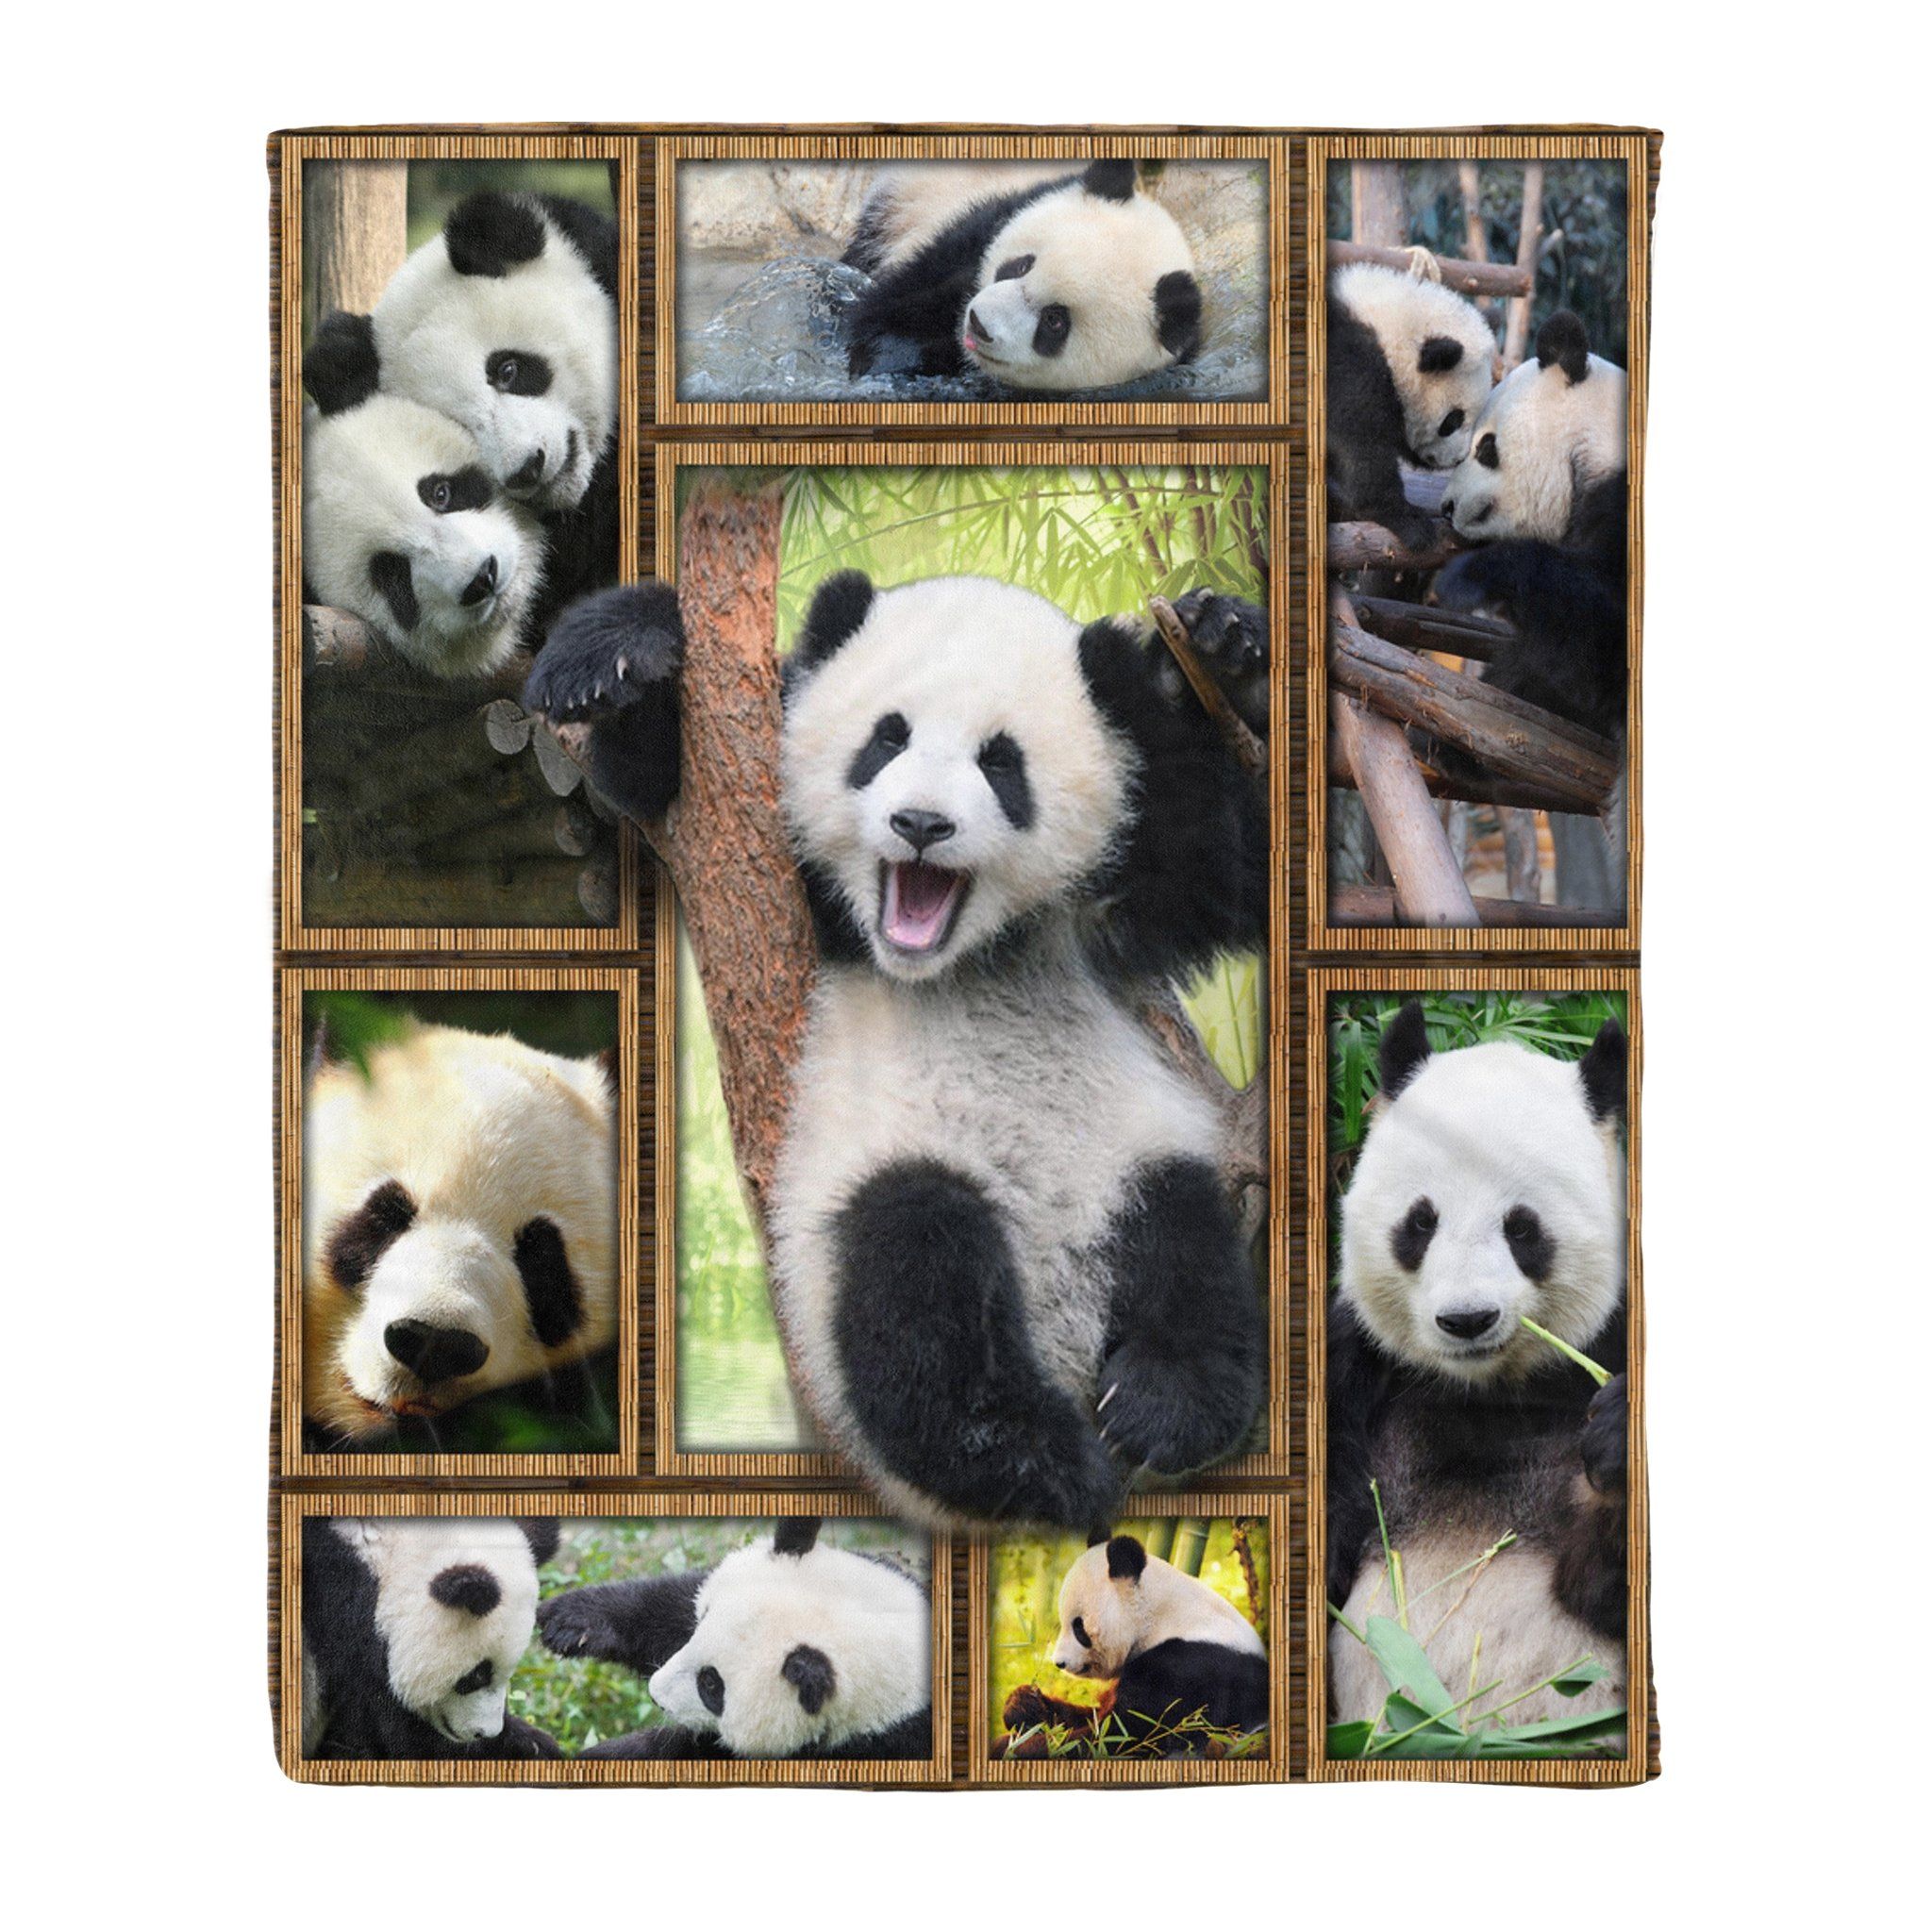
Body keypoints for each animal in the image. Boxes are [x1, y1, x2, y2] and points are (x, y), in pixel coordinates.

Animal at [526, 571, 1269, 1532]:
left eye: (1001, 763)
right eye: (887, 739)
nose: (920, 823)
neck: (958, 958)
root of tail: (1061, 1346)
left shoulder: (1113, 901)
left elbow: (1225, 865)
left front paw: (1220, 647)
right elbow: (664, 776)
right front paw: (613, 658)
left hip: (1128, 1163)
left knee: (1187, 1254)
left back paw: (1154, 1407)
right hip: (868, 1191)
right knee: (914, 1279)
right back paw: (1038, 1457)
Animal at [536, 1518, 932, 1760]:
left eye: (711, 1685)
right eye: (701, 1621)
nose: (655, 1694)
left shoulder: (880, 1743)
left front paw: (598, 1754)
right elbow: (668, 1608)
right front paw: (570, 1622)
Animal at [842, 160, 1202, 392]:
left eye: (1054, 321)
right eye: (1022, 265)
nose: (979, 324)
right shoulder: (981, 228)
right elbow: (904, 302)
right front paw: (888, 358)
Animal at [996, 1532, 1268, 1757]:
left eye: (1079, 1627)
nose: (1059, 1663)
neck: (1158, 1618)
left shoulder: (1189, 1666)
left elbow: (1124, 1737)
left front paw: (1015, 1748)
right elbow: (1092, 1716)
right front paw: (1024, 1703)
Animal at [1327, 1001, 1629, 1738]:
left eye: (1522, 1228)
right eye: (1421, 1222)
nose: (1466, 1320)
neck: (1485, 1391)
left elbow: (1597, 1590)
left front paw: (1613, 1438)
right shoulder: (1360, 1371)